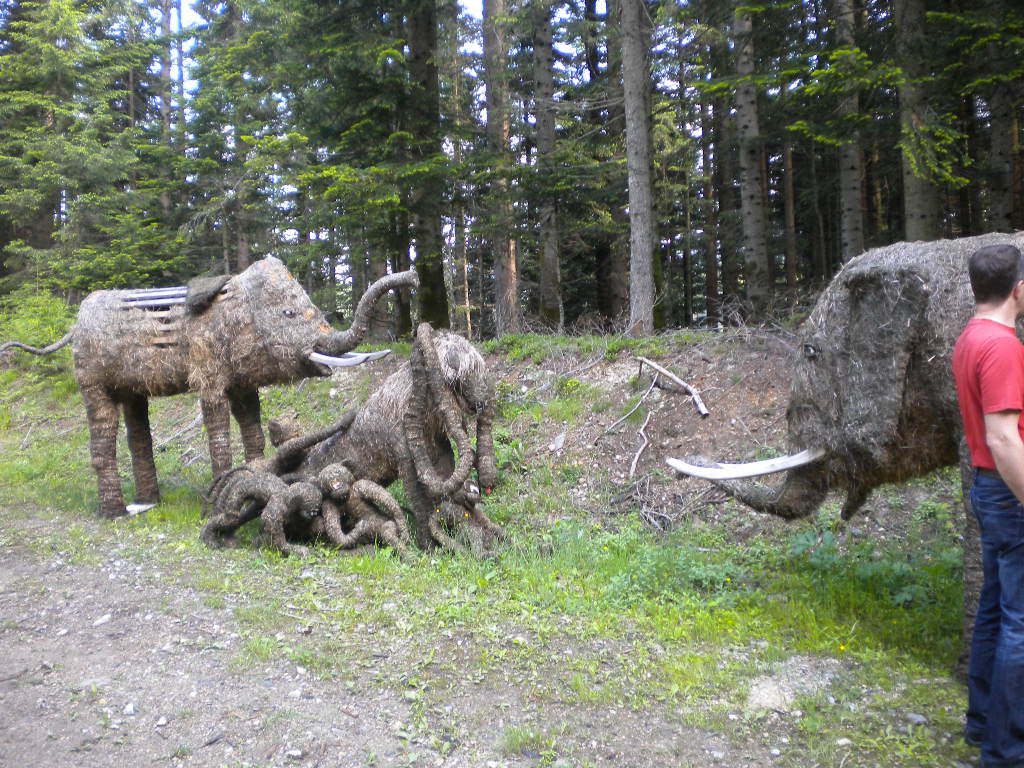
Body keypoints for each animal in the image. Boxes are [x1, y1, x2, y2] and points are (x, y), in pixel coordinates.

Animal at [1, 257, 415, 518]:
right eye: (289, 314)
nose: (412, 276)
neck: (236, 303)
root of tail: (75, 323)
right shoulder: (207, 362)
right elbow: (216, 419)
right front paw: (218, 498)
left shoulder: (242, 377)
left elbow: (251, 421)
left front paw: (254, 480)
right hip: (91, 378)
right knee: (102, 435)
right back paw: (115, 513)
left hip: (133, 384)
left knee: (138, 428)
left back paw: (148, 503)